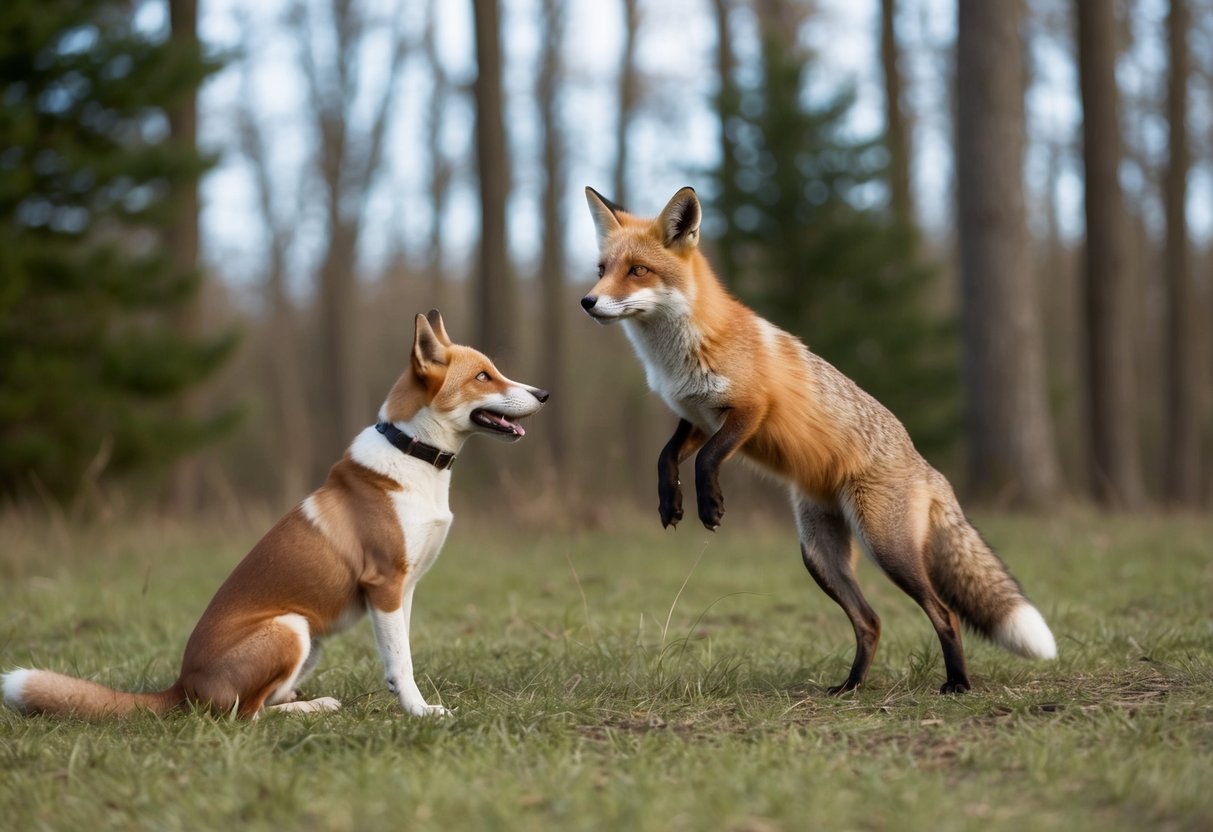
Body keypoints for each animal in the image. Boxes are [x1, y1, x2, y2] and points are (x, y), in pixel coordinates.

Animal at [2, 310, 548, 719]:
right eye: (483, 376)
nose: (543, 394)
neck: (413, 455)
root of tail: (182, 686)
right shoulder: (385, 585)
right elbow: (403, 663)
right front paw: (420, 712)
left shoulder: (402, 592)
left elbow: (400, 656)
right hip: (290, 627)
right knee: (246, 715)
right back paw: (310, 712)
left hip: (312, 639)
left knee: (265, 701)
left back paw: (315, 703)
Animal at [580, 186, 1056, 694]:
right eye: (602, 270)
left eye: (637, 271)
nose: (587, 301)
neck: (681, 354)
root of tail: (928, 468)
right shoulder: (698, 417)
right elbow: (665, 457)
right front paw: (670, 503)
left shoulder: (750, 412)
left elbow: (707, 460)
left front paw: (710, 505)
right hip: (820, 557)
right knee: (870, 622)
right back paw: (851, 687)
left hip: (888, 550)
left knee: (944, 614)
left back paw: (958, 684)